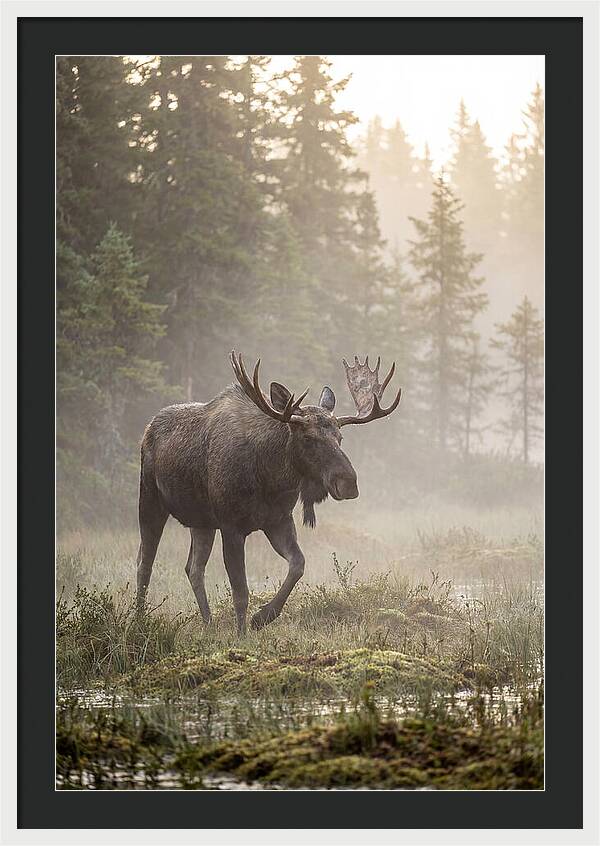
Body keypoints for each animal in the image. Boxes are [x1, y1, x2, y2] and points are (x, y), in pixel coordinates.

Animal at [136, 351, 401, 633]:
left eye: (340, 438)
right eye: (308, 438)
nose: (349, 483)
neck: (270, 478)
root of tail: (148, 428)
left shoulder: (278, 520)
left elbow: (298, 565)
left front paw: (263, 617)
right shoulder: (231, 526)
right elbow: (241, 591)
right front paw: (242, 634)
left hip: (201, 522)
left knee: (193, 568)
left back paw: (207, 623)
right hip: (150, 500)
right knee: (145, 562)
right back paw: (139, 620)